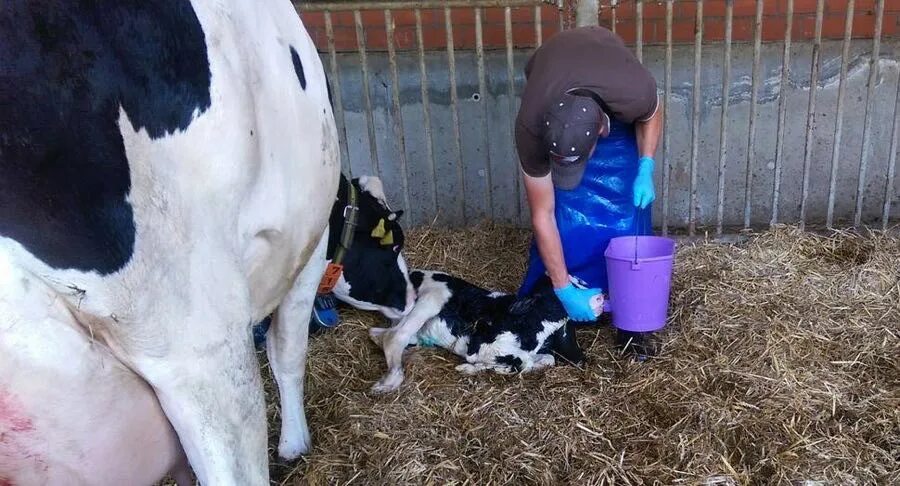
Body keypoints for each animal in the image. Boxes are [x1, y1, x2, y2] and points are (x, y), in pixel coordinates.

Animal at [366, 270, 584, 394]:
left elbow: (546, 359)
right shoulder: (482, 345)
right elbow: (523, 361)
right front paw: (471, 368)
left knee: (378, 333)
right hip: (433, 298)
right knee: (394, 336)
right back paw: (388, 383)